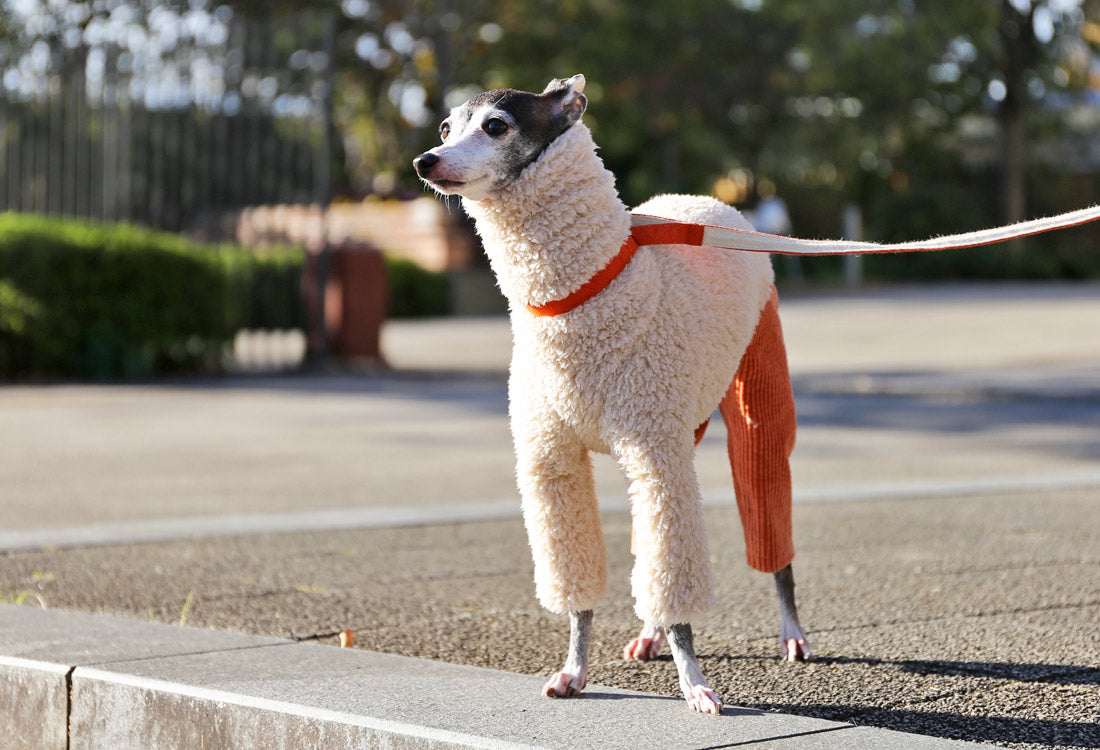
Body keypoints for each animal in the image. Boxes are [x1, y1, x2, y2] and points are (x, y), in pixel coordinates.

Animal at [415, 75, 814, 712]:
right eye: (447, 128)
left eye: (497, 126)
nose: (425, 161)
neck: (579, 301)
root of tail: (710, 200)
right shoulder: (551, 462)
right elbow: (575, 583)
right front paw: (574, 669)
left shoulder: (655, 452)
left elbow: (679, 590)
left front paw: (695, 683)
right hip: (682, 426)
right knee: (650, 552)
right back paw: (648, 633)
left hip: (754, 378)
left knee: (764, 506)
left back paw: (791, 631)